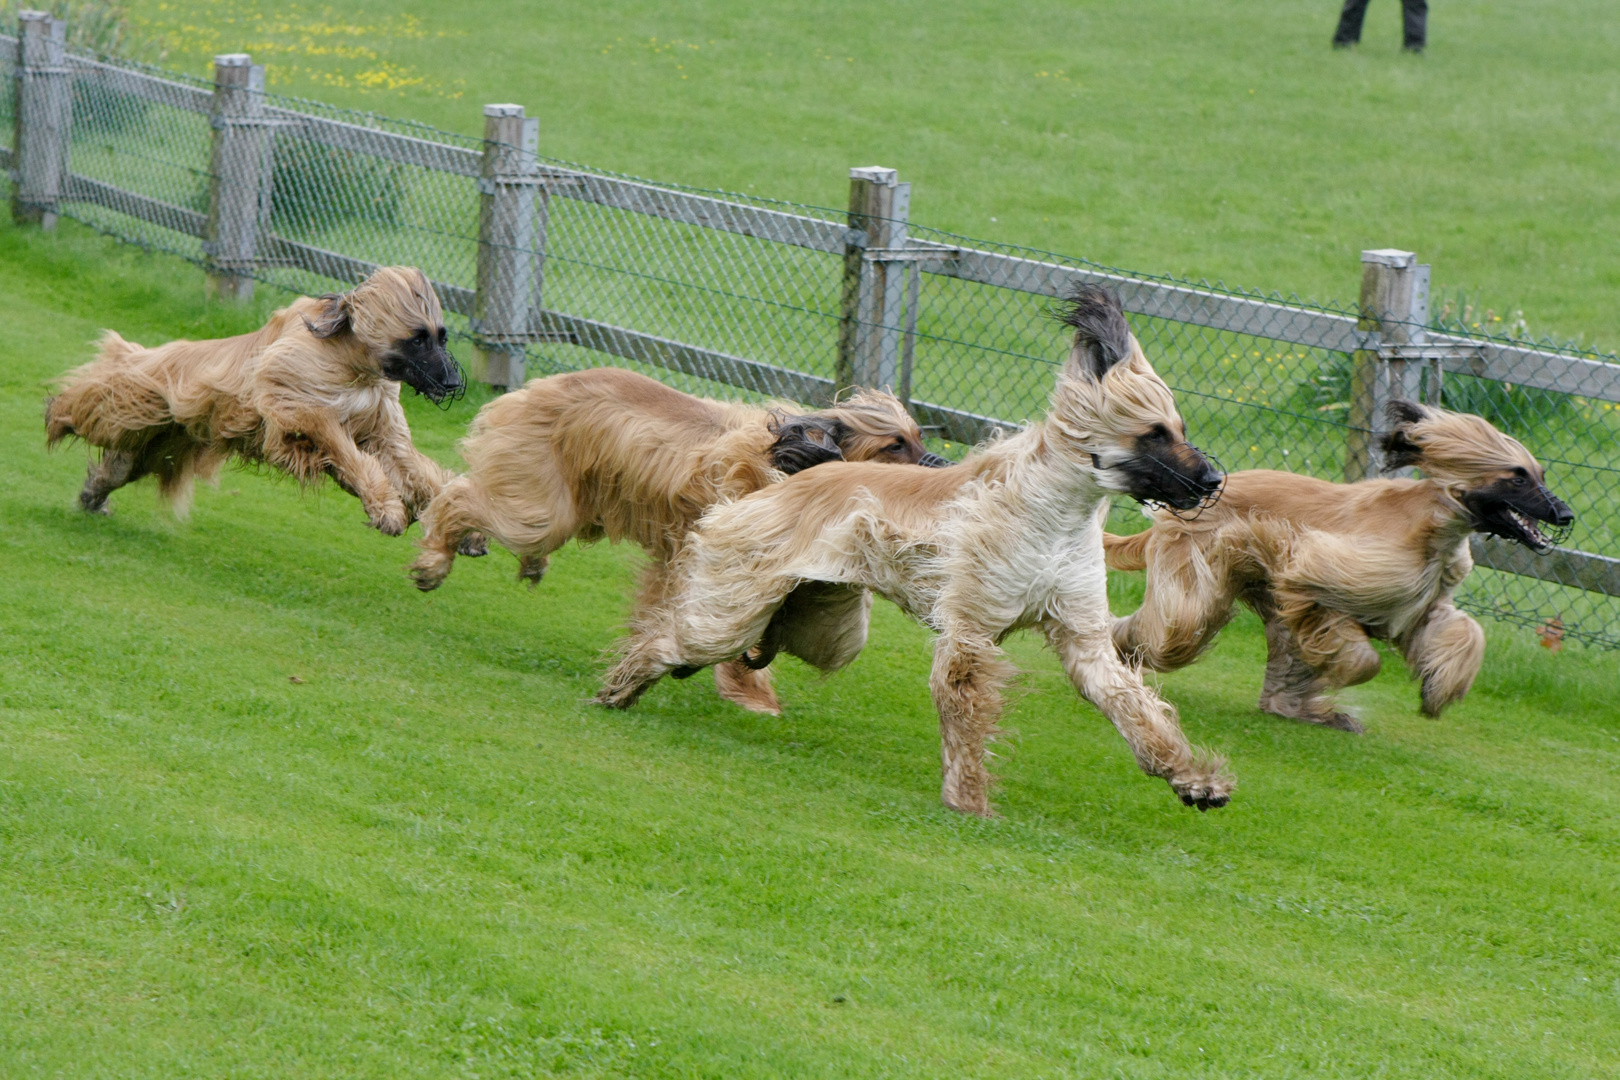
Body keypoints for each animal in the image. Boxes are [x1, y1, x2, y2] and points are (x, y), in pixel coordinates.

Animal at [45, 262, 463, 531]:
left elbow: (409, 463)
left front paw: (453, 516)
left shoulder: (380, 425)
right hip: (140, 403)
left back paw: (93, 495)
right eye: (418, 338)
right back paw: (57, 413)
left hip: (163, 441)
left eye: (442, 336)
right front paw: (387, 509)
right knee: (93, 407)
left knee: (119, 467)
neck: (352, 363)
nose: (453, 382)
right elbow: (343, 447)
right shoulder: (297, 401)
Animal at [408, 369, 946, 718]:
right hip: (543, 506)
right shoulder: (714, 550)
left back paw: (527, 563)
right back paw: (436, 560)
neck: (786, 462)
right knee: (460, 497)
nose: (942, 467)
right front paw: (747, 689)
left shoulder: (685, 554)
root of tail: (537, 386)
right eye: (894, 444)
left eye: (919, 436)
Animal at [596, 289, 1224, 819]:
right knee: (680, 638)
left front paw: (1192, 779)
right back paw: (621, 686)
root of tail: (790, 482)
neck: (1052, 511)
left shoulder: (1081, 632)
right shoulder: (970, 631)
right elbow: (963, 704)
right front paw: (968, 800)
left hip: (828, 620)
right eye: (1155, 432)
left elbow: (1129, 703)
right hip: (740, 590)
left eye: (1180, 426)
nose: (1215, 480)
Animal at [1108, 399, 1574, 735]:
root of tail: (1181, 508)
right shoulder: (1318, 573)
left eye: (1541, 474)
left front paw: (1437, 688)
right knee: (1175, 628)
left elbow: (1461, 630)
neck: (1437, 528)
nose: (1566, 514)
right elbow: (1361, 657)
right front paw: (1336, 681)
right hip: (1197, 570)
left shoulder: (1422, 605)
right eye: (1518, 476)